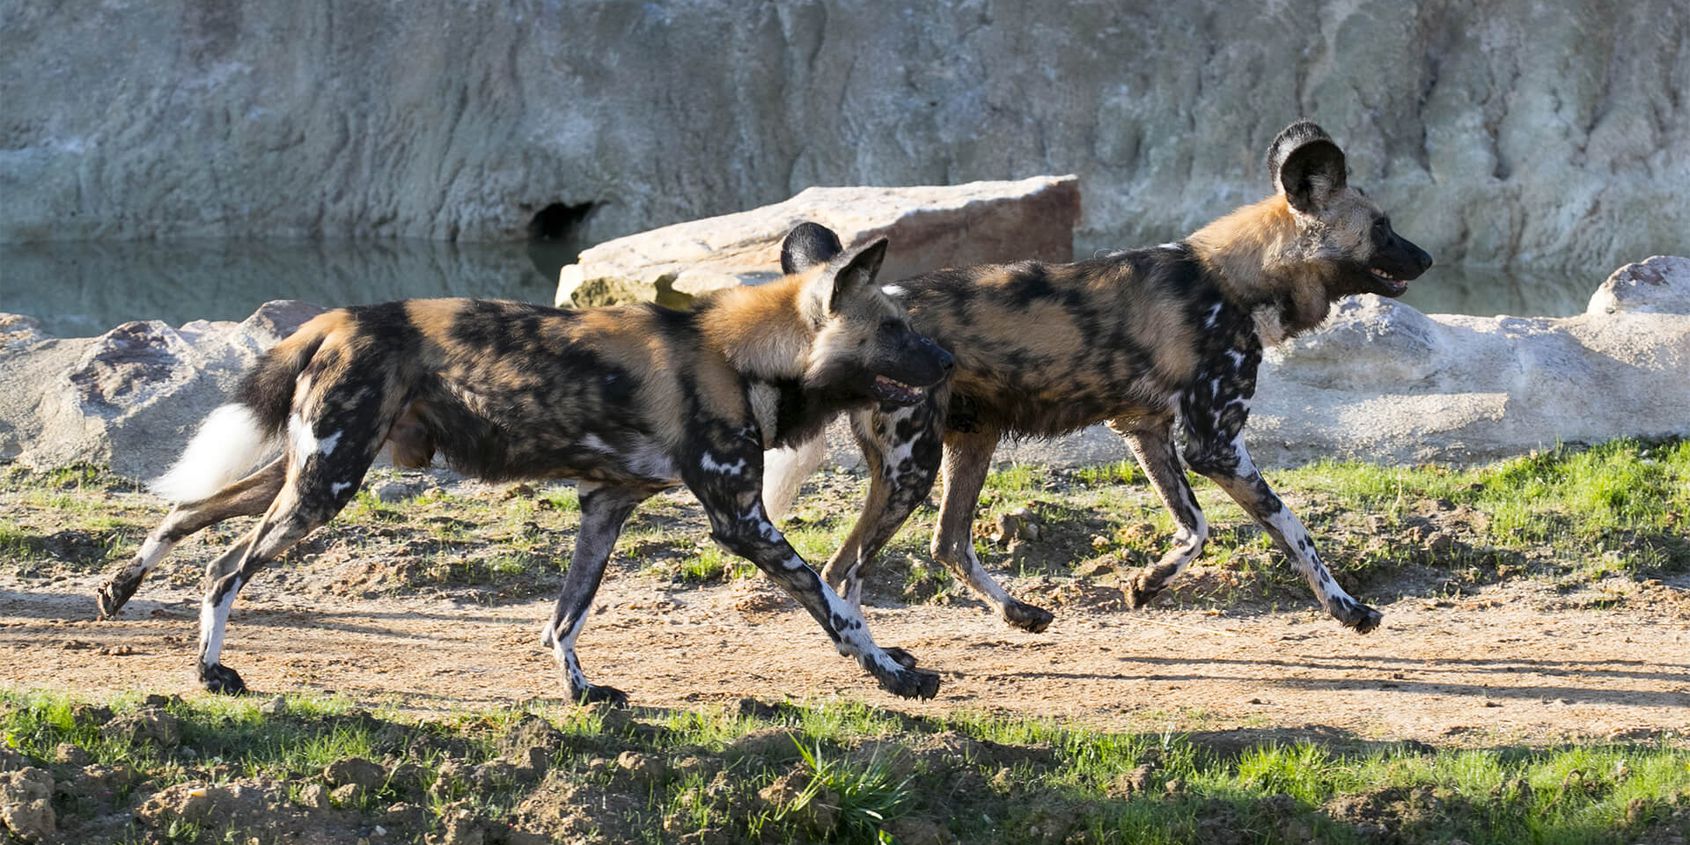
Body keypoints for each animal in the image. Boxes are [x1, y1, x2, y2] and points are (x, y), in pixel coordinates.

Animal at [98, 224, 959, 706]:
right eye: (894, 329)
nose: (950, 359)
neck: (743, 355)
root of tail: (339, 317)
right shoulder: (741, 522)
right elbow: (837, 606)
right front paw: (895, 675)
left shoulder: (606, 506)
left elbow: (564, 616)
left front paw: (580, 693)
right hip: (327, 485)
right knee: (224, 569)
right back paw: (209, 673)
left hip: (308, 472)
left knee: (189, 508)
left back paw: (120, 586)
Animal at [774, 119, 1433, 635]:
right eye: (1382, 228)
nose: (1426, 258)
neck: (1235, 282)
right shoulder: (1215, 445)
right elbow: (1295, 532)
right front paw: (1349, 610)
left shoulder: (1148, 432)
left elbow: (1195, 527)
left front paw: (1148, 584)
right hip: (912, 466)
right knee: (843, 570)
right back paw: (877, 662)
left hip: (968, 444)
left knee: (948, 542)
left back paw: (1019, 613)